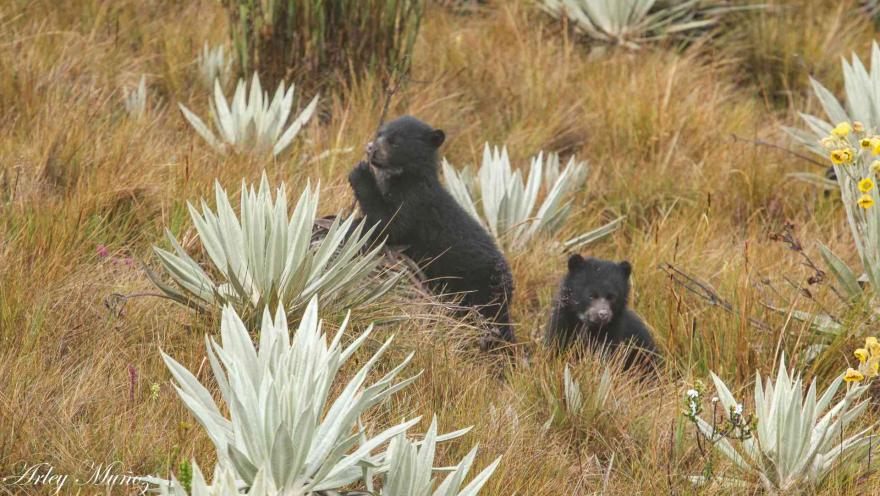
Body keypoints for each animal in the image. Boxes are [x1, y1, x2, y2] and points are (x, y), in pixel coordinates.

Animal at [347, 115, 515, 347]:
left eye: (394, 141)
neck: (405, 177)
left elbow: (391, 225)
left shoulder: (416, 201)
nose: (371, 148)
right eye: (379, 133)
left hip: (478, 290)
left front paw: (360, 173)